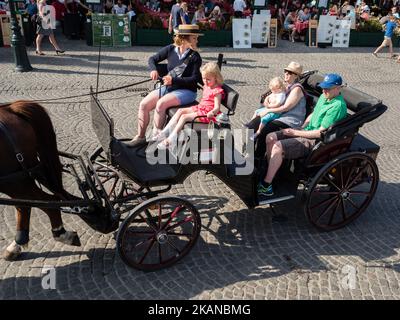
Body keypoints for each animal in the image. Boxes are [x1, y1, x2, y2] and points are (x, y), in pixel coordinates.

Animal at [0, 101, 81, 262]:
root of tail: (11, 108)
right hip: (18, 178)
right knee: (27, 203)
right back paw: (16, 244)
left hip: (13, 181)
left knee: (47, 201)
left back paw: (61, 234)